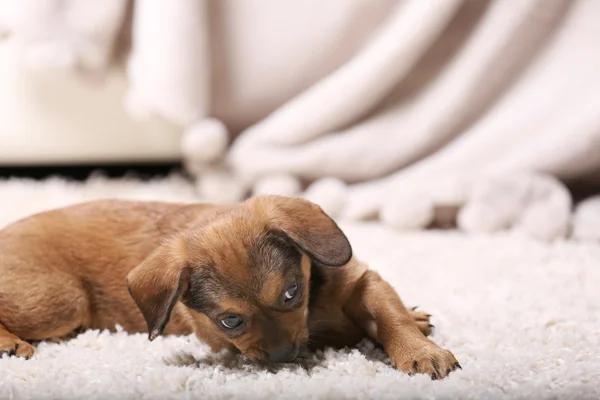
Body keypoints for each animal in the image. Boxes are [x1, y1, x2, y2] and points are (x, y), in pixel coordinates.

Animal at [0, 196, 460, 378]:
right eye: (231, 322)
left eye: (292, 292)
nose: (284, 357)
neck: (316, 304)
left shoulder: (363, 281)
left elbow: (391, 315)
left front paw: (419, 349)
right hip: (62, 300)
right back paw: (11, 344)